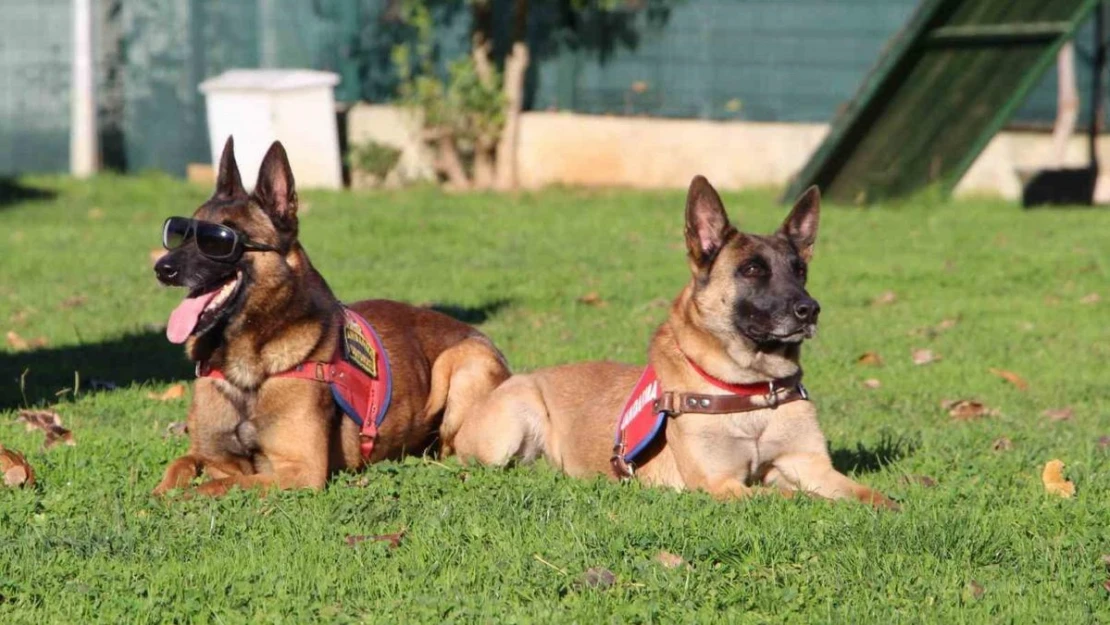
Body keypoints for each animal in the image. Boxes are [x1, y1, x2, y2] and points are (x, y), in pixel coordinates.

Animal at [149, 138, 508, 499]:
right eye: (181, 233)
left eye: (218, 242)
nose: (163, 269)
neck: (245, 369)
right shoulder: (209, 454)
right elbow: (179, 467)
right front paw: (156, 494)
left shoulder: (299, 470)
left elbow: (215, 485)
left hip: (462, 364)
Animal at [455, 175, 896, 508]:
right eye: (753, 270)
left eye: (799, 270)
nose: (810, 309)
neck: (753, 391)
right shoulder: (722, 484)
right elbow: (798, 498)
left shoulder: (811, 464)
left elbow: (865, 494)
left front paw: (893, 508)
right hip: (513, 424)